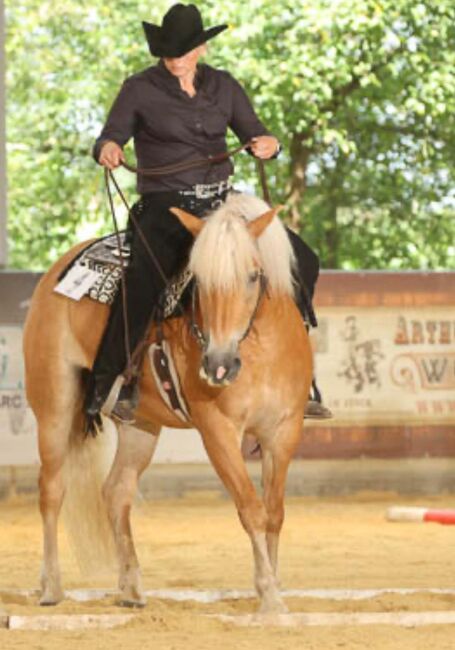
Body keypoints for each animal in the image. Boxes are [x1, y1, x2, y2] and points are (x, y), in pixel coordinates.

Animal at [22, 189, 314, 612]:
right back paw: (51, 587)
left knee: (116, 492)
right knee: (52, 489)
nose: (219, 365)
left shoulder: (283, 431)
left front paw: (272, 586)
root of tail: (58, 272)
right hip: (54, 407)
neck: (261, 350)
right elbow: (251, 509)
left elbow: (274, 512)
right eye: (200, 280)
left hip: (140, 425)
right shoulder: (218, 432)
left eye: (253, 275)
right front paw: (270, 596)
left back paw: (130, 588)